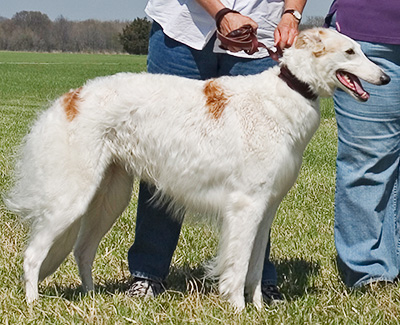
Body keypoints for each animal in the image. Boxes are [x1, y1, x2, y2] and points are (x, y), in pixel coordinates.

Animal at [4, 28, 390, 308]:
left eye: (360, 49)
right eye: (351, 52)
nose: (386, 78)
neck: (288, 92)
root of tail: (69, 98)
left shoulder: (266, 208)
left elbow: (254, 269)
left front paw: (259, 308)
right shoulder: (245, 206)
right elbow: (237, 267)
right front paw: (238, 309)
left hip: (109, 197)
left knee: (82, 251)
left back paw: (91, 299)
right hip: (72, 197)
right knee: (32, 255)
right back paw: (33, 303)